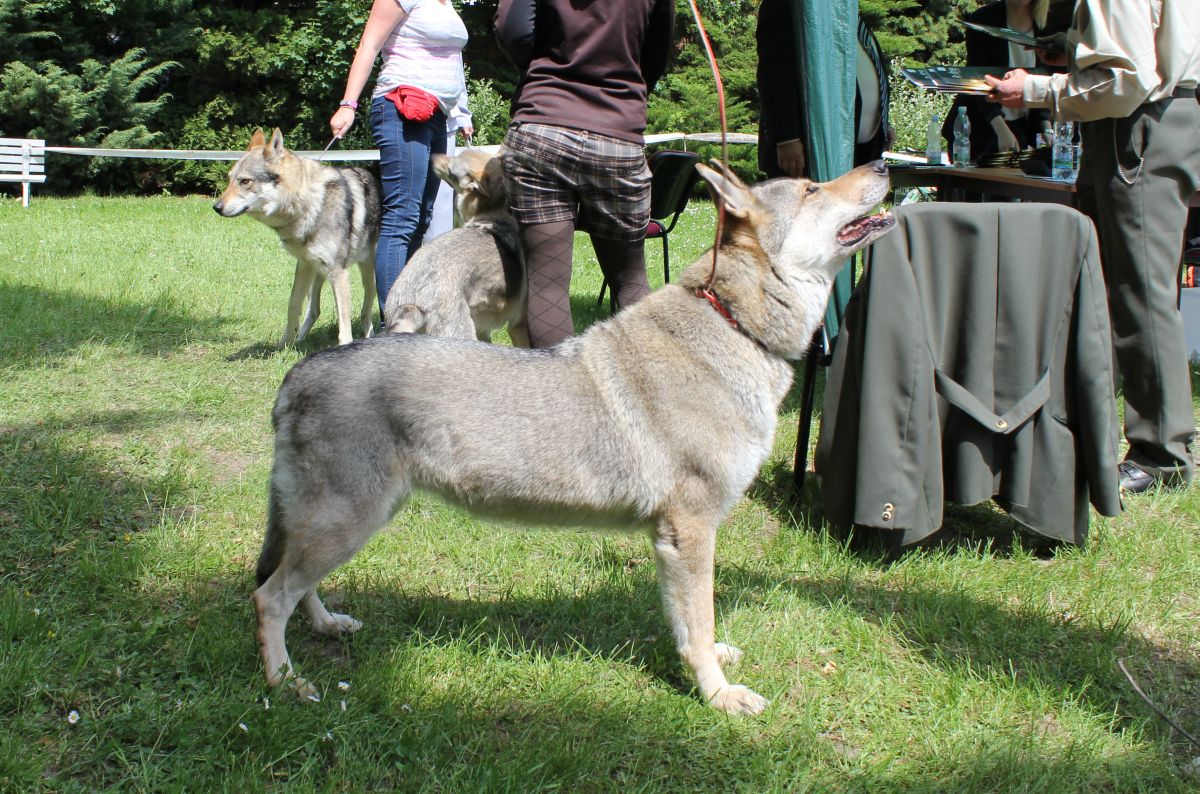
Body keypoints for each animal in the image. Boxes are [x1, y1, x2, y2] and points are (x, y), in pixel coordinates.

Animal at [250, 158, 892, 719]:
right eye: (812, 188)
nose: (884, 164)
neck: (734, 325)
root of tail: (299, 374)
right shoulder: (690, 530)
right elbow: (699, 622)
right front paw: (719, 696)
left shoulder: (674, 538)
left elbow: (692, 625)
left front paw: (714, 665)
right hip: (347, 523)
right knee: (269, 597)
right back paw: (285, 682)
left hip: (336, 525)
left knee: (295, 587)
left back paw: (326, 626)